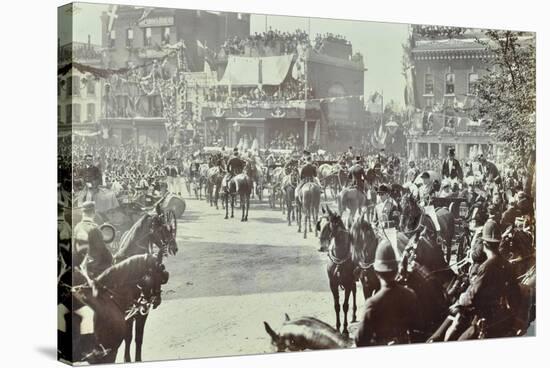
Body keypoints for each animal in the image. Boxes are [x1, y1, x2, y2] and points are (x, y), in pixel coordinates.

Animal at [316, 204, 360, 336]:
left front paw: (345, 329)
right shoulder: (333, 284)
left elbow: (345, 305)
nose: (322, 247)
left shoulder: (348, 283)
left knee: (354, 292)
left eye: (330, 224)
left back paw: (354, 314)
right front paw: (337, 327)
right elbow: (337, 306)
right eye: (319, 224)